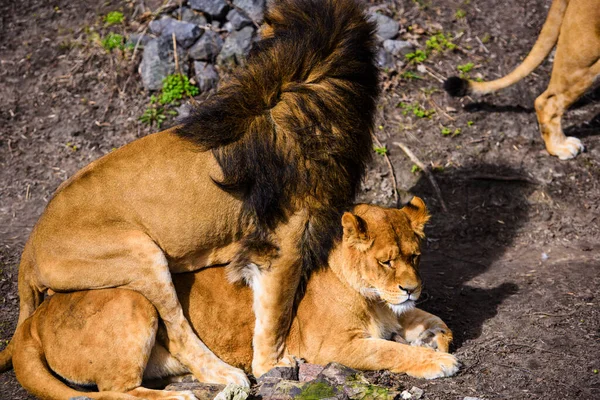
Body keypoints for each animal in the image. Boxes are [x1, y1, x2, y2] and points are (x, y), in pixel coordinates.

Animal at [0, 0, 378, 384]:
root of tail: (30, 250)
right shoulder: (282, 242)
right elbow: (275, 315)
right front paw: (271, 366)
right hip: (140, 253)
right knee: (178, 334)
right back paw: (228, 376)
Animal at [10, 198, 460, 398]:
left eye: (415, 256)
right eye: (385, 261)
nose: (411, 287)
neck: (374, 298)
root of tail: (34, 318)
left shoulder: (396, 312)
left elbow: (434, 321)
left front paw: (435, 338)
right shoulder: (331, 345)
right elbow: (388, 351)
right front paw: (438, 362)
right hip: (133, 300)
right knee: (113, 392)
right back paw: (183, 396)